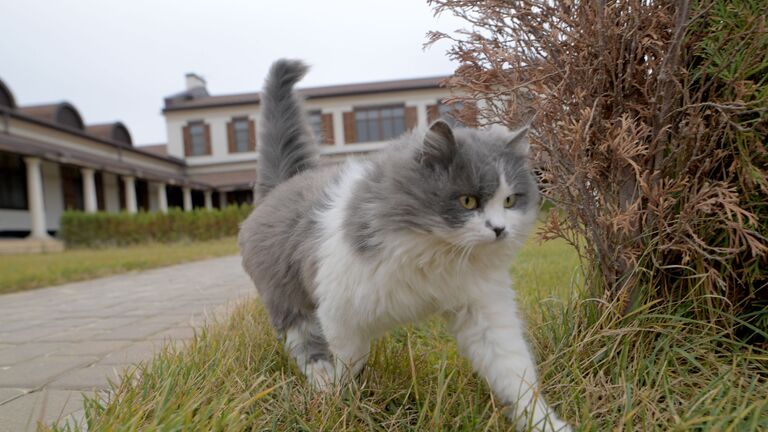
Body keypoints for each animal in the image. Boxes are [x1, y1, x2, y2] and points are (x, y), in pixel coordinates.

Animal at [238, 58, 568, 432]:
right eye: (468, 201)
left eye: (510, 200)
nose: (499, 229)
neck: (434, 249)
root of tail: (284, 184)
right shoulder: (339, 312)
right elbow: (348, 364)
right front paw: (341, 407)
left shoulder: (483, 310)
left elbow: (516, 375)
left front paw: (544, 423)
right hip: (291, 305)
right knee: (308, 349)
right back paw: (321, 384)